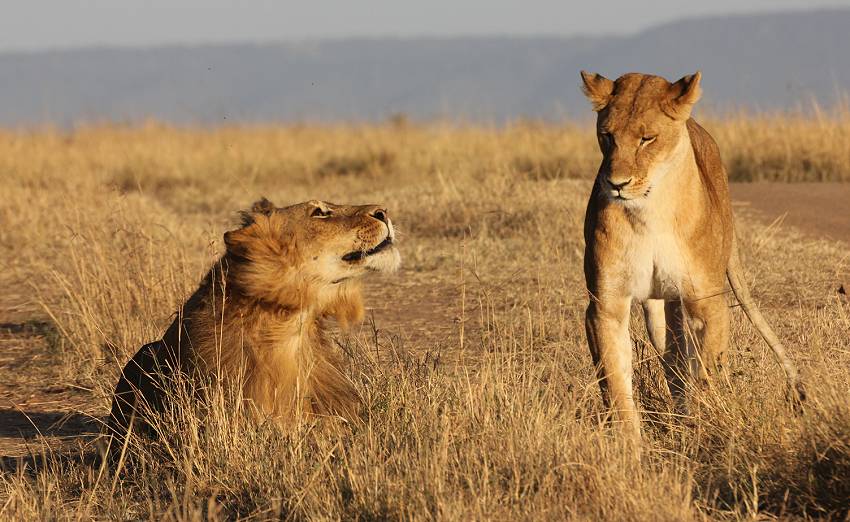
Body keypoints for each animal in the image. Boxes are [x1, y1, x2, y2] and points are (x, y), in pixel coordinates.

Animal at [576, 71, 800, 440]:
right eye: (607, 136)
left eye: (647, 139)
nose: (617, 184)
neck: (649, 211)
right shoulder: (606, 305)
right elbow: (616, 383)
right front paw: (629, 447)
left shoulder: (707, 303)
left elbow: (705, 373)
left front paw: (702, 425)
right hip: (658, 311)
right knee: (671, 358)